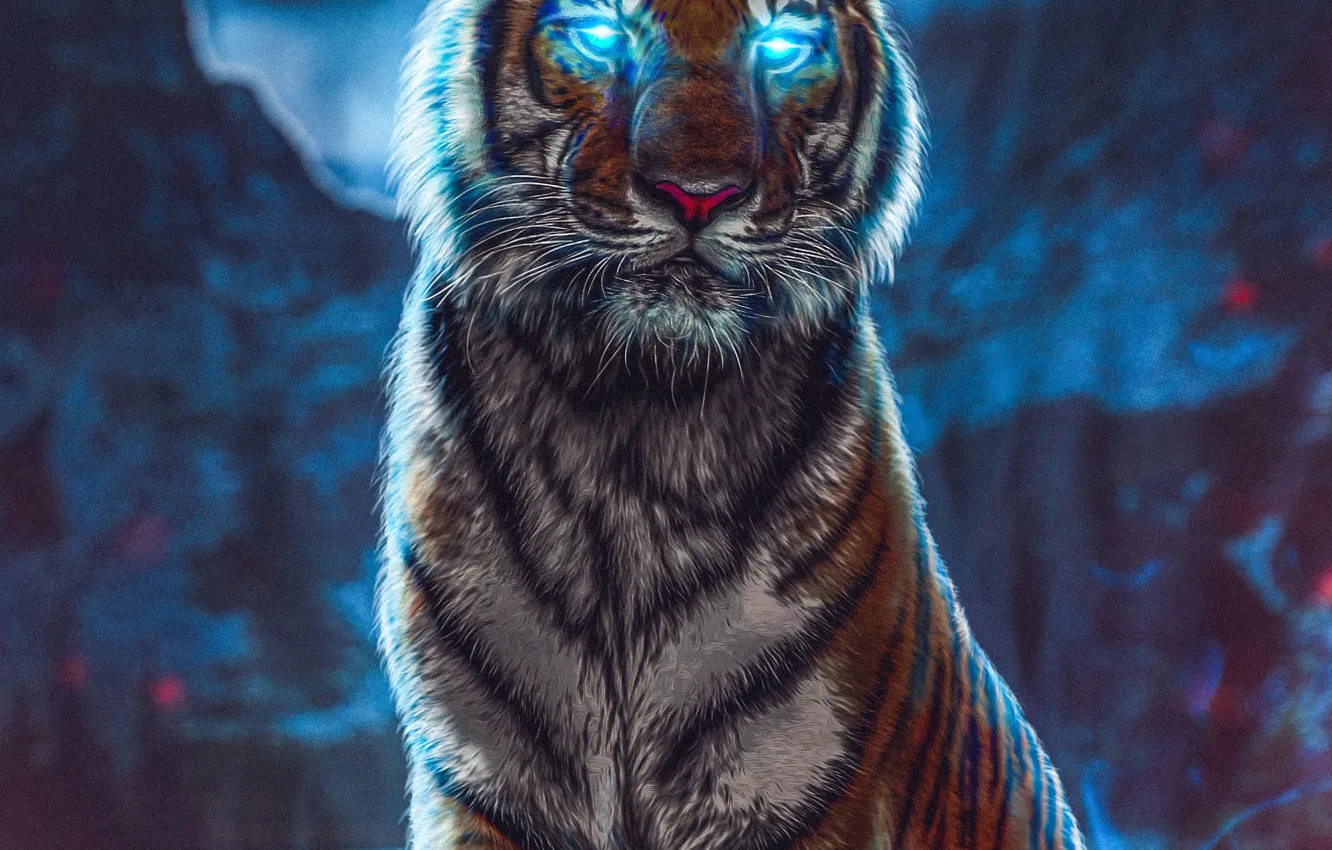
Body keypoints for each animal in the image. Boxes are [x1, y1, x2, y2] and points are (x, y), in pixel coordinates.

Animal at [375, 0, 1087, 848]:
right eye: (600, 34)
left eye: (779, 47)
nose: (697, 195)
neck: (635, 410)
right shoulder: (481, 780)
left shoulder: (801, 784)